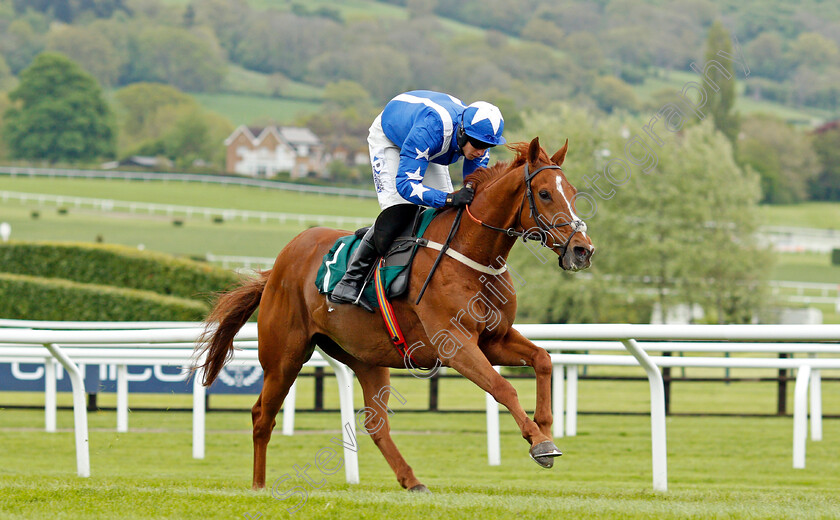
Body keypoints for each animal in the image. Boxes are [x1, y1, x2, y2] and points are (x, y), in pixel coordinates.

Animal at [194, 137, 592, 492]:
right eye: (545, 193)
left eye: (572, 192)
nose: (582, 250)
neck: (470, 255)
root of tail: (276, 267)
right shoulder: (456, 344)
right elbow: (503, 387)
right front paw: (539, 442)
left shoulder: (494, 339)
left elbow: (543, 360)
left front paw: (544, 428)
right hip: (284, 356)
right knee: (262, 416)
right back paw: (259, 486)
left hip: (366, 358)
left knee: (376, 425)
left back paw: (412, 481)